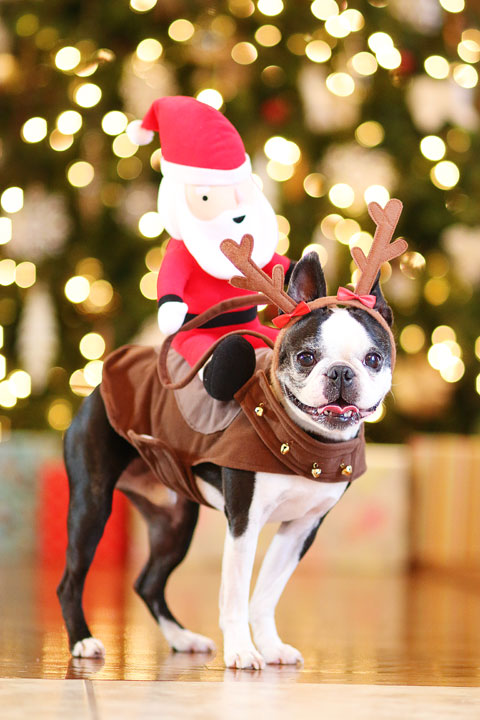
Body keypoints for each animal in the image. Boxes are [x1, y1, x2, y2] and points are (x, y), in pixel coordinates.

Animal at [56, 248, 396, 668]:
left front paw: (270, 646)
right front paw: (242, 651)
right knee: (71, 580)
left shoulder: (301, 529)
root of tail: (97, 383)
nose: (341, 372)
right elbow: (235, 596)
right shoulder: (244, 524)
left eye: (374, 359)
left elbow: (265, 595)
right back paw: (83, 640)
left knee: (148, 582)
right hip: (92, 505)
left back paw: (182, 638)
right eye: (305, 357)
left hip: (175, 521)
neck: (305, 441)